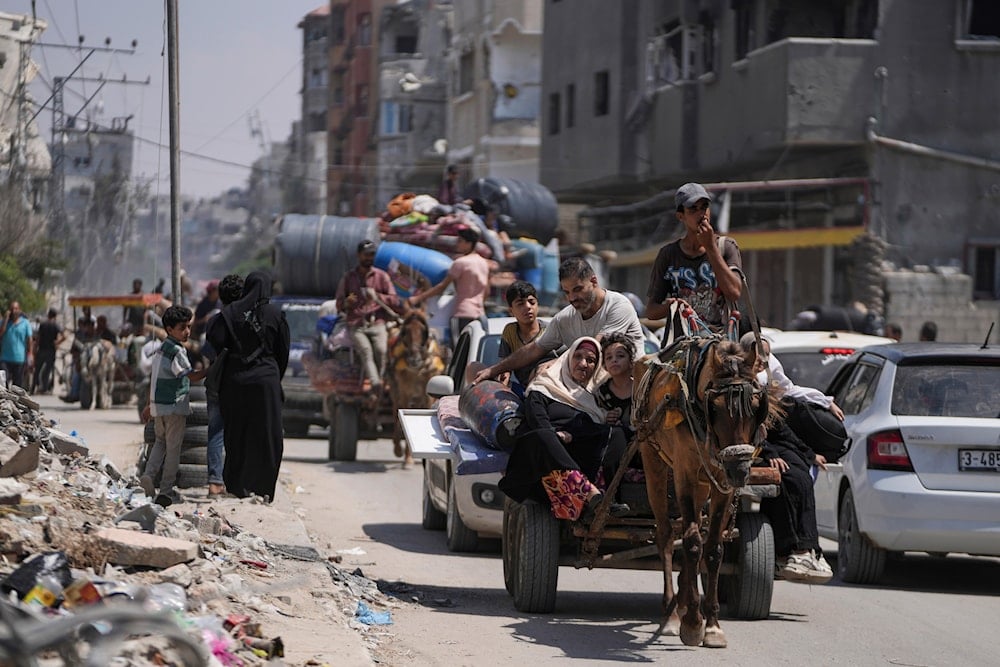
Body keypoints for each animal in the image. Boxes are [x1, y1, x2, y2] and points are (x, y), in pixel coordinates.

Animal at [386, 312, 446, 464]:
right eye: (406, 331)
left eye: (423, 331)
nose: (414, 360)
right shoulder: (405, 392)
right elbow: (402, 417)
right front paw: (407, 458)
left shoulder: (428, 395)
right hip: (395, 390)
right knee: (394, 411)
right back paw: (397, 448)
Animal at [632, 336, 772, 648]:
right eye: (715, 408)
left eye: (757, 405)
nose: (740, 471)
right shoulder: (684, 473)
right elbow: (693, 542)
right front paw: (694, 624)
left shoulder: (721, 483)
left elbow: (714, 548)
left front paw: (712, 625)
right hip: (653, 458)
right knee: (666, 535)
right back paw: (672, 614)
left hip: (704, 483)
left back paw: (683, 602)